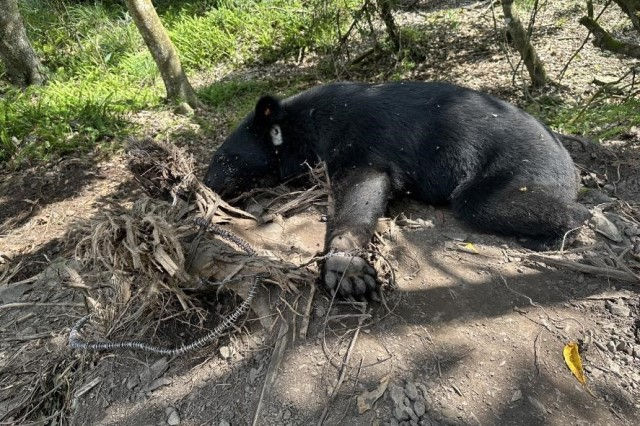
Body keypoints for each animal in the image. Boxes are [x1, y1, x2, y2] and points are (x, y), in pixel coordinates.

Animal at [204, 81, 591, 297]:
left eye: (224, 159)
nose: (205, 185)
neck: (301, 125)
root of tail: (568, 161)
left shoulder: (358, 143)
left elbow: (360, 191)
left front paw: (347, 270)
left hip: (520, 164)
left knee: (488, 203)